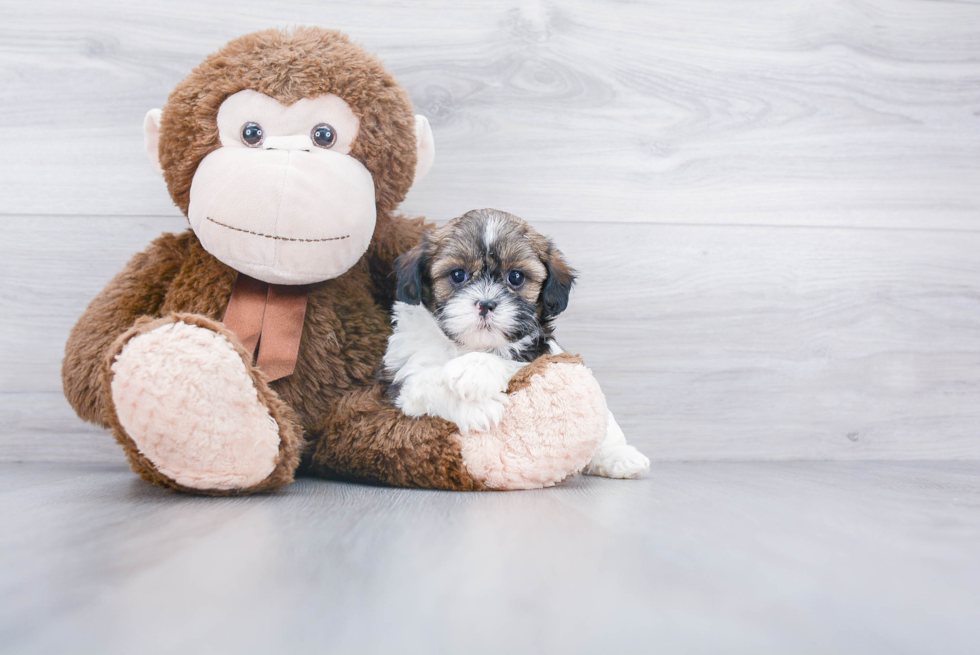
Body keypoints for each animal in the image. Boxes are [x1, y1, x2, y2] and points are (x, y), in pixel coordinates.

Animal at [382, 210, 652, 482]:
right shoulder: (400, 380)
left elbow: (513, 362)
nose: (486, 304)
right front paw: (476, 408)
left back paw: (620, 457)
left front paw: (474, 370)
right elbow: (426, 381)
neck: (469, 346)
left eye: (516, 277)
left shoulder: (543, 354)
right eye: (458, 275)